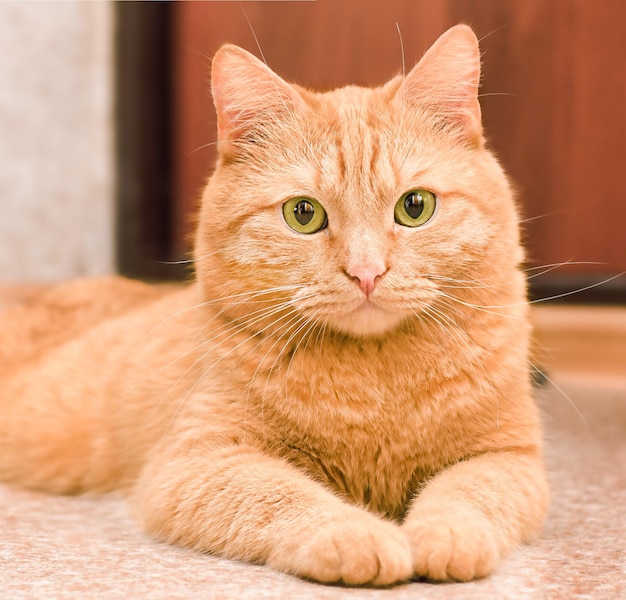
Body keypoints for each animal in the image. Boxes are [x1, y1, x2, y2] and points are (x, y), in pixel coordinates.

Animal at [0, 25, 544, 584]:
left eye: (415, 207)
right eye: (304, 214)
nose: (366, 272)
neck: (372, 379)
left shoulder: (509, 457)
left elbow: (468, 494)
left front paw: (447, 537)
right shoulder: (197, 463)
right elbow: (286, 498)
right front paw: (357, 534)